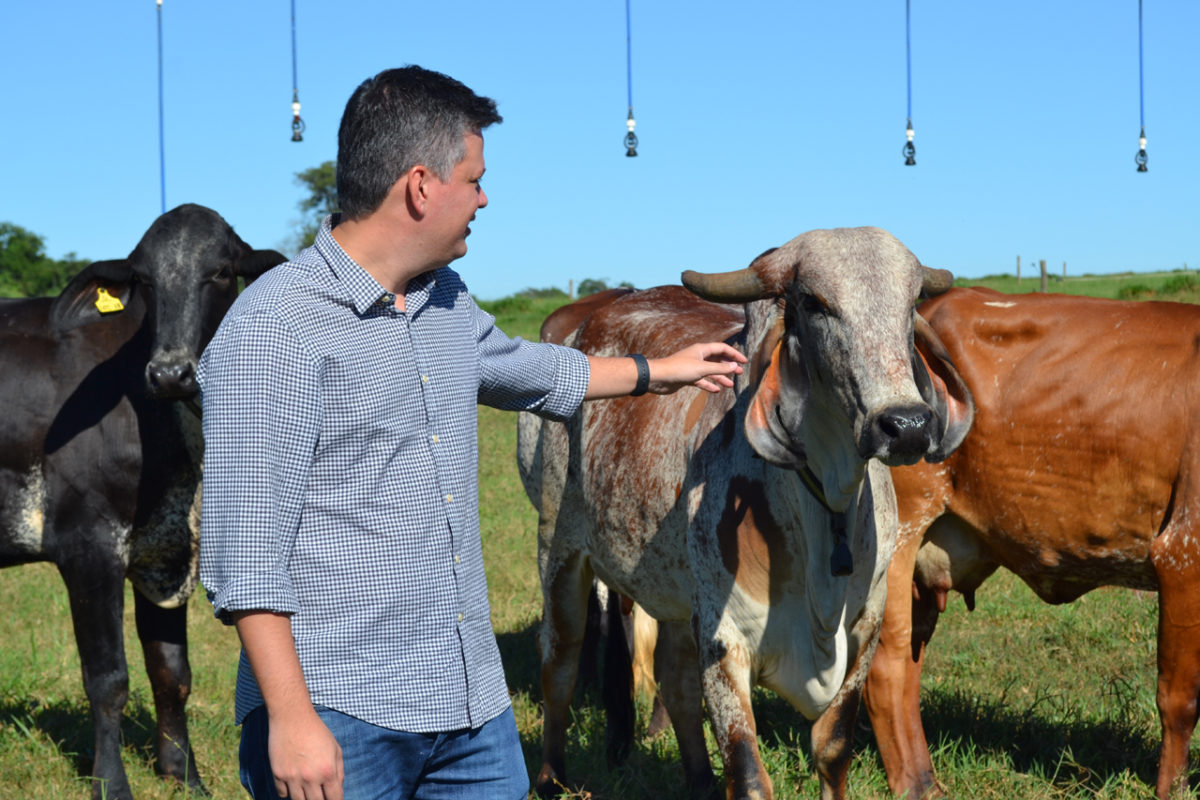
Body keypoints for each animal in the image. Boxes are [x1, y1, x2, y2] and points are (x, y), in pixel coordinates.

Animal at [0, 203, 285, 796]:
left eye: (220, 271)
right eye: (144, 280)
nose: (171, 372)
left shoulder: (166, 551)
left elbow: (171, 673)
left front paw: (185, 775)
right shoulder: (87, 545)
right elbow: (108, 678)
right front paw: (111, 782)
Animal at [516, 226, 974, 800]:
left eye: (911, 302)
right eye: (813, 302)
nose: (907, 425)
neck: (827, 510)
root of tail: (587, 325)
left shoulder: (864, 632)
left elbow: (832, 748)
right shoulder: (724, 639)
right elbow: (749, 775)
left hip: (674, 592)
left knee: (674, 683)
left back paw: (698, 782)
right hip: (559, 550)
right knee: (558, 664)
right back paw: (551, 776)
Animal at [864, 287, 1200, 800]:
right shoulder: (1183, 554)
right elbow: (1179, 700)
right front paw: (1173, 790)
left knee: (909, 669)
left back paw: (926, 777)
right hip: (900, 535)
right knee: (887, 665)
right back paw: (914, 786)